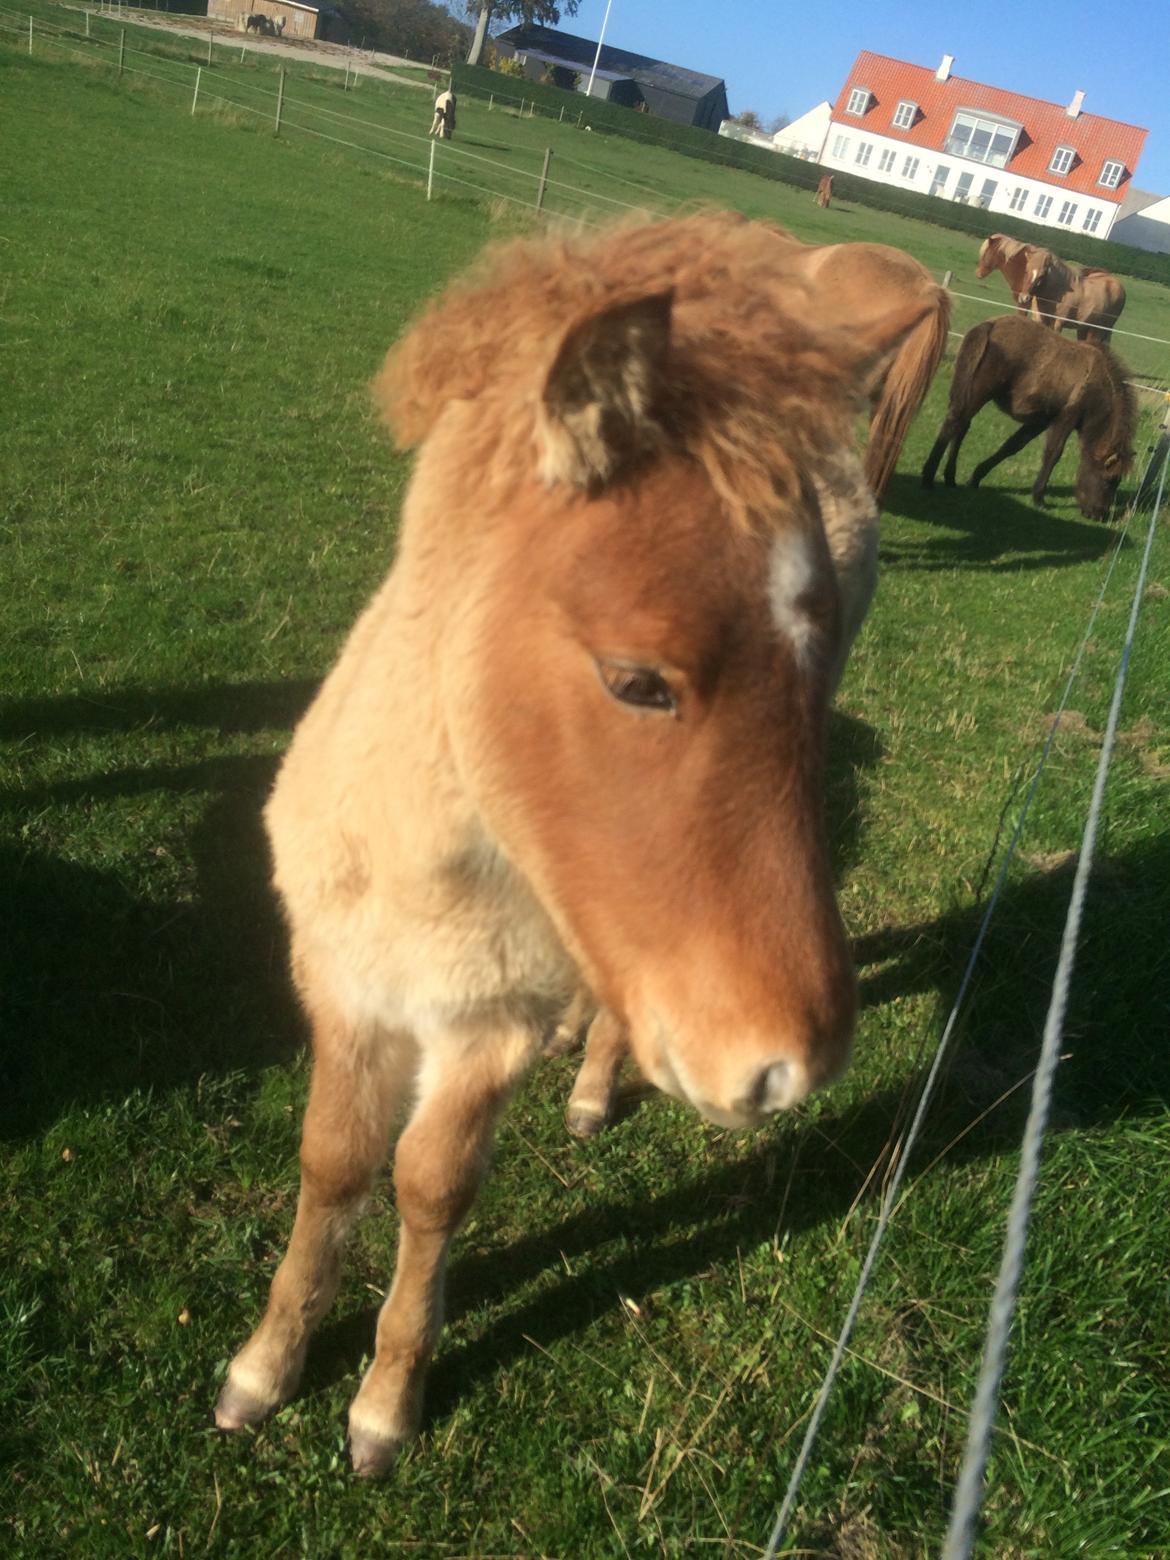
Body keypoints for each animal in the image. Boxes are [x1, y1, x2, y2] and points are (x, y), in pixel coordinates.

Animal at [215, 210, 942, 1472]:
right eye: (637, 681)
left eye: (810, 677)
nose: (789, 1065)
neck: (426, 881)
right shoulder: (340, 982)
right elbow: (334, 1162)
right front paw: (264, 1368)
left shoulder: (485, 1031)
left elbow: (431, 1185)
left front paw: (384, 1404)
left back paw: (596, 1084)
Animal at [923, 313, 1135, 521]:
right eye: (1110, 480)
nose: (1099, 515)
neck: (1097, 384)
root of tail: (990, 326)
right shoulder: (1066, 418)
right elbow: (1053, 454)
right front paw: (1039, 497)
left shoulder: (1040, 421)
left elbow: (1012, 446)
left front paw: (976, 476)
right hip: (980, 392)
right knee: (955, 422)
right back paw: (928, 476)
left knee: (962, 426)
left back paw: (950, 477)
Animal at [973, 230, 1129, 344]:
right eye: (1026, 271)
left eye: (986, 253)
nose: (978, 273)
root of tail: (1118, 285)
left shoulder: (1049, 318)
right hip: (1084, 328)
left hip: (1096, 330)